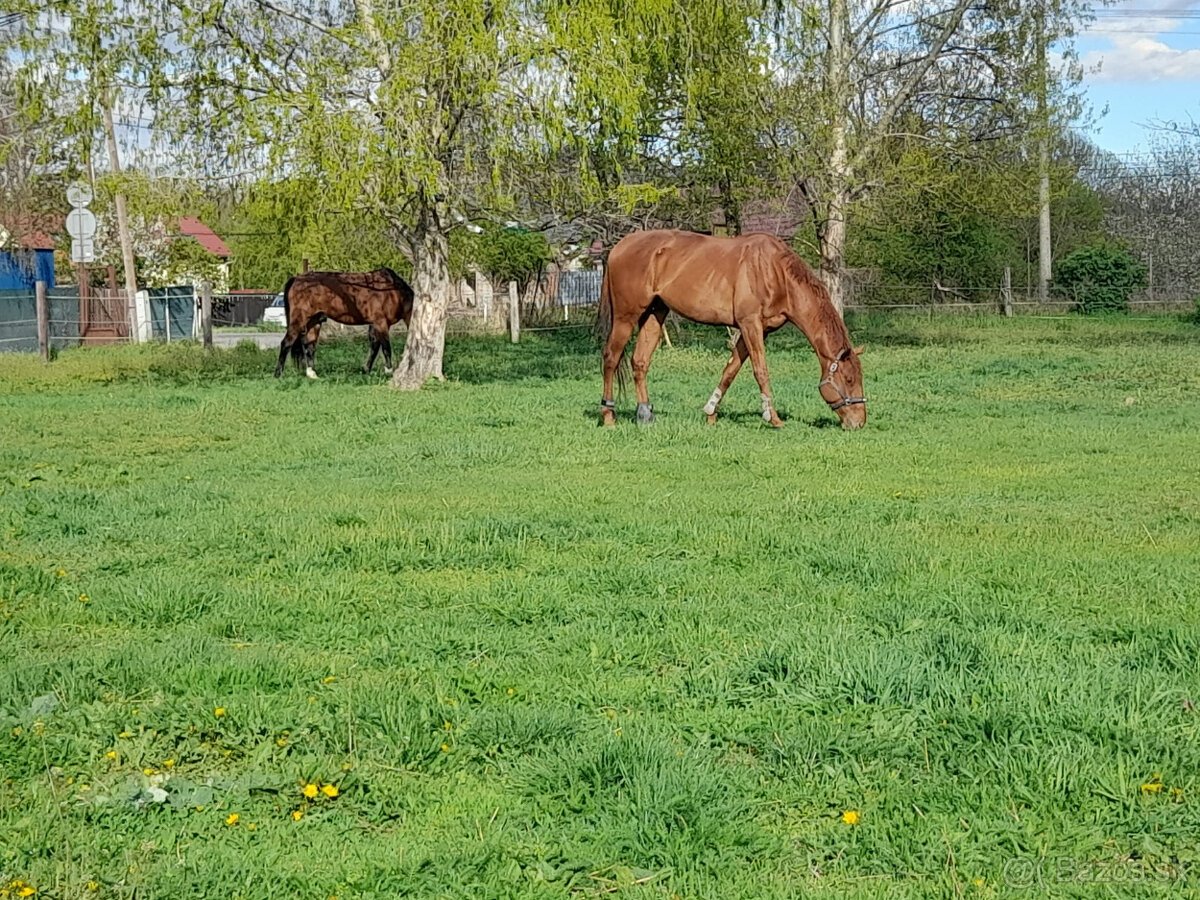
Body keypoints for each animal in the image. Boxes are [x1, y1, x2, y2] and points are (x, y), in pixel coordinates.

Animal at [274, 267, 415, 381]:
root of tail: (297, 279)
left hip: (314, 322)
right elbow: (386, 348)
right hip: (299, 320)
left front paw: (366, 369)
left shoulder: (375, 324)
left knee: (309, 345)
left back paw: (311, 374)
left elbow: (374, 347)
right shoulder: (381, 323)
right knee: (286, 343)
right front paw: (389, 371)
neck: (393, 291)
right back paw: (278, 374)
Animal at [597, 232, 864, 429]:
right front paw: (773, 418)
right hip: (626, 316)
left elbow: (730, 370)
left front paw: (710, 412)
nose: (859, 421)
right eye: (849, 379)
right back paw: (608, 415)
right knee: (611, 357)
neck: (775, 272)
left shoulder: (757, 330)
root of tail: (619, 247)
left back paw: (645, 414)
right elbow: (760, 371)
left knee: (640, 362)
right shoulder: (750, 324)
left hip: (655, 314)